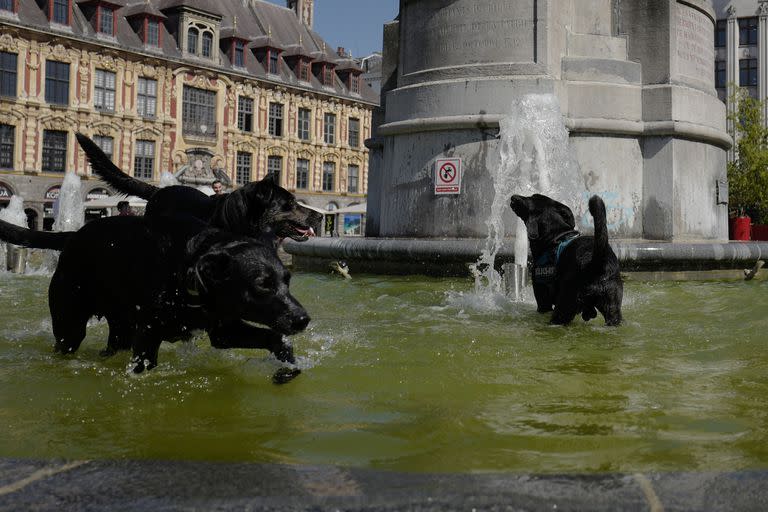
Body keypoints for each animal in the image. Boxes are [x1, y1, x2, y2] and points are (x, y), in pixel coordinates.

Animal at [3, 214, 308, 374]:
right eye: (262, 284)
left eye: (287, 280)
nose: (302, 319)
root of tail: (73, 235)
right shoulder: (148, 334)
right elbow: (143, 366)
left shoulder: (225, 330)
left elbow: (276, 338)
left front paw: (289, 363)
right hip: (70, 324)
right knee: (67, 341)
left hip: (121, 329)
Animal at [510, 194, 624, 326]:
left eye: (532, 197)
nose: (513, 197)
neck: (555, 237)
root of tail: (595, 262)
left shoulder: (543, 300)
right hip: (613, 308)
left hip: (563, 306)